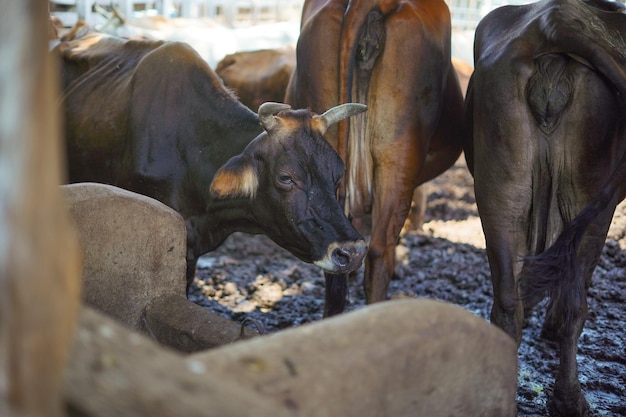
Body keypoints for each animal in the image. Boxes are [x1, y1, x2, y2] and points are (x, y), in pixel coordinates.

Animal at [464, 0, 624, 412]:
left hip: (502, 189)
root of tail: (554, 22)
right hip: (589, 198)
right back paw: (569, 398)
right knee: (573, 301)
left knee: (508, 302)